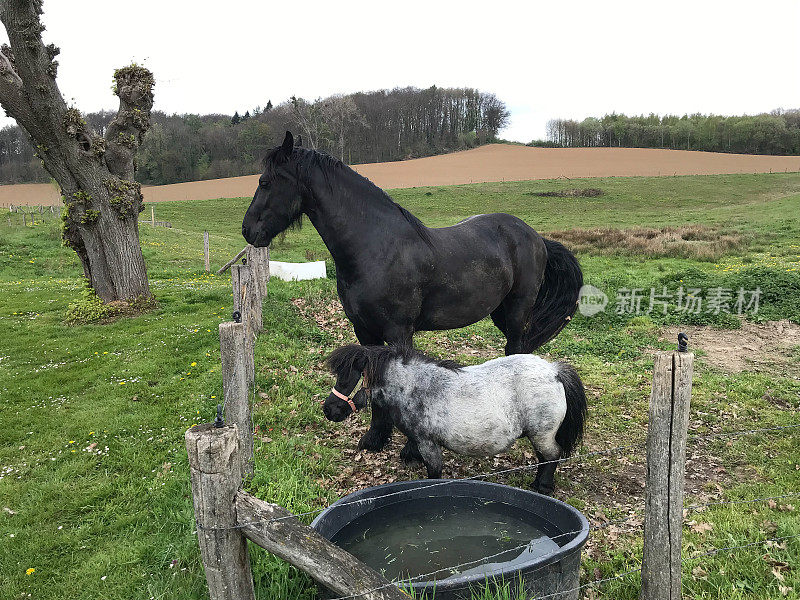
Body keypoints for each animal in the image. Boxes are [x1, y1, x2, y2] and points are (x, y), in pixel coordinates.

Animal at [241, 130, 584, 450]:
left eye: (265, 181)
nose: (248, 230)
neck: (375, 248)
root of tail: (537, 238)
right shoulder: (364, 330)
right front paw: (375, 438)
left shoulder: (398, 332)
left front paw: (410, 446)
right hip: (500, 313)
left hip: (516, 313)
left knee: (516, 349)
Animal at [320, 344, 588, 494]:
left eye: (347, 379)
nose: (329, 410)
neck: (414, 387)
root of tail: (553, 371)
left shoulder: (428, 443)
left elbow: (434, 473)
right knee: (544, 458)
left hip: (542, 434)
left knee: (552, 456)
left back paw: (543, 487)